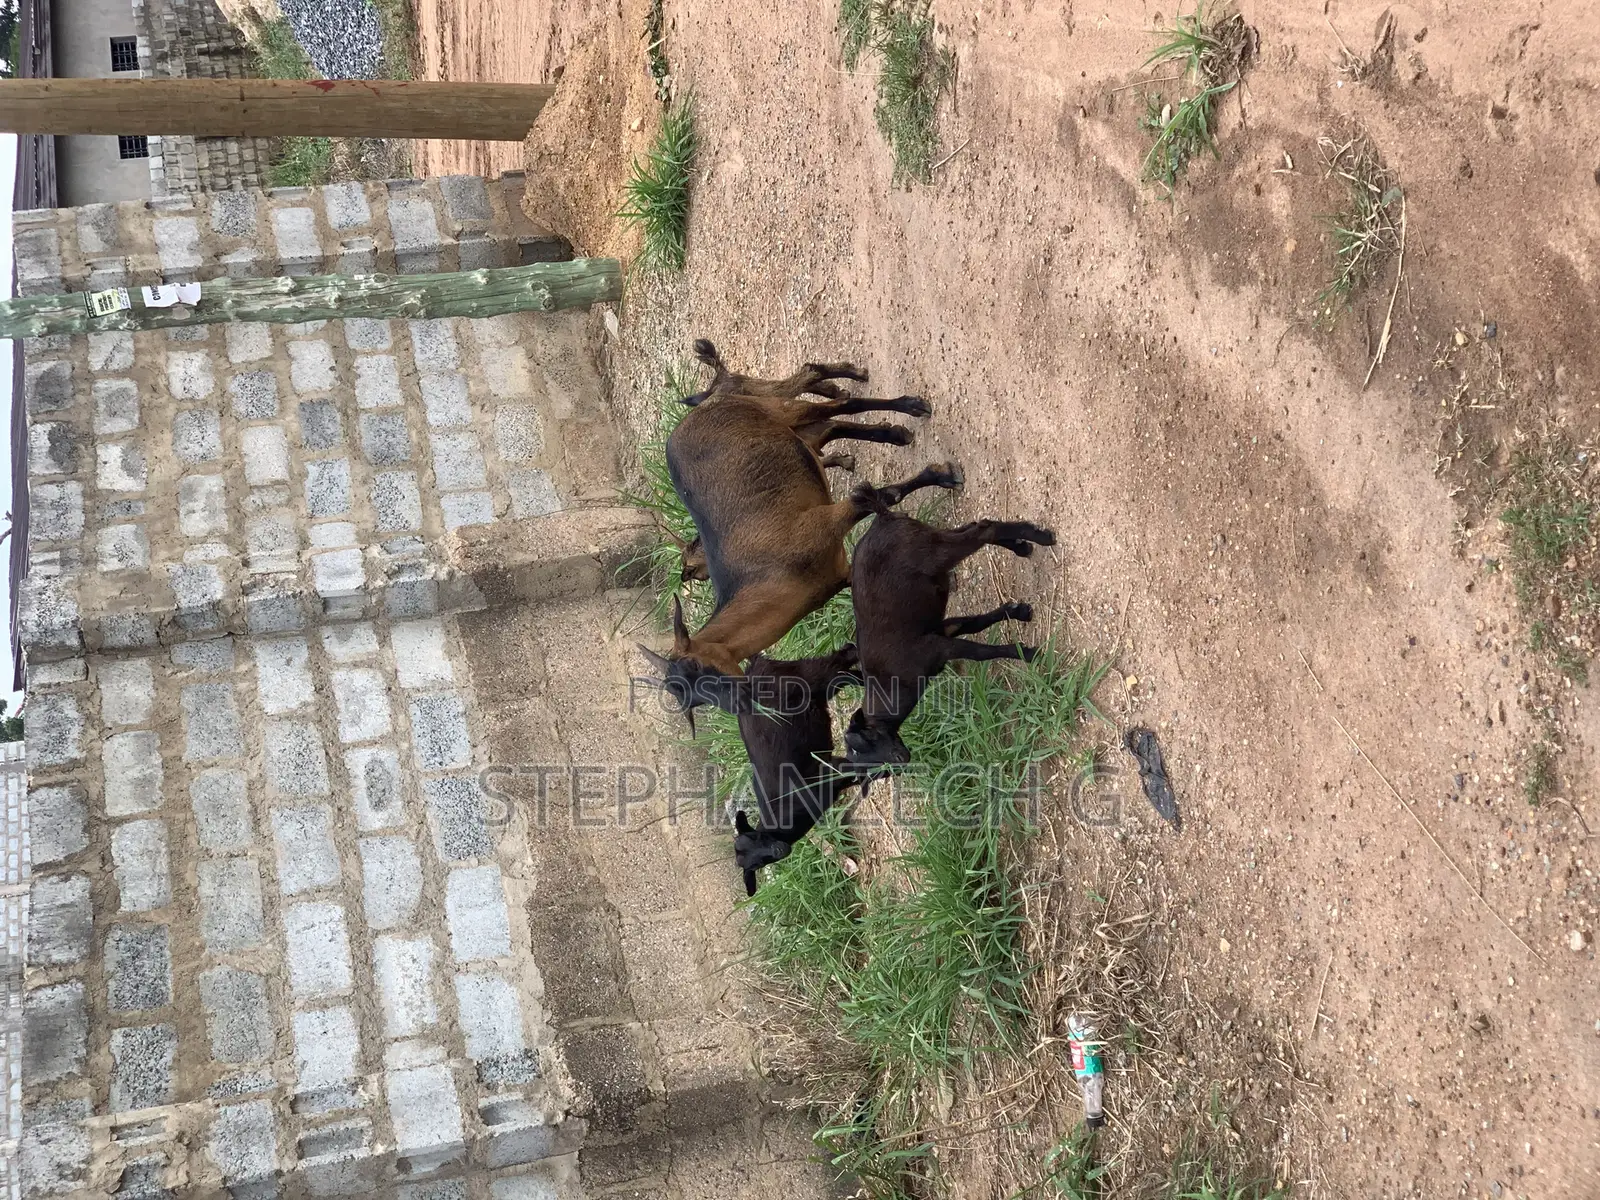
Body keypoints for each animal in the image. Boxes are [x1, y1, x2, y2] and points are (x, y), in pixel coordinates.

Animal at [724, 645, 862, 895]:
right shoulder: (833, 772)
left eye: (758, 837)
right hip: (820, 689)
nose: (779, 851)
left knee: (841, 657)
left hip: (808, 677)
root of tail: (752, 668)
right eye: (757, 865)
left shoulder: (829, 772)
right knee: (847, 673)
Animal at [844, 496, 1055, 770]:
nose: (903, 759)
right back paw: (1023, 547)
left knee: (984, 530)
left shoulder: (936, 647)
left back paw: (1040, 538)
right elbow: (977, 622)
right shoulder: (944, 630)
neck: (892, 683)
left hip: (932, 552)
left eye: (866, 742)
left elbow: (980, 652)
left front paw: (1029, 654)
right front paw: (1019, 612)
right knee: (976, 526)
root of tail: (882, 517)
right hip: (930, 537)